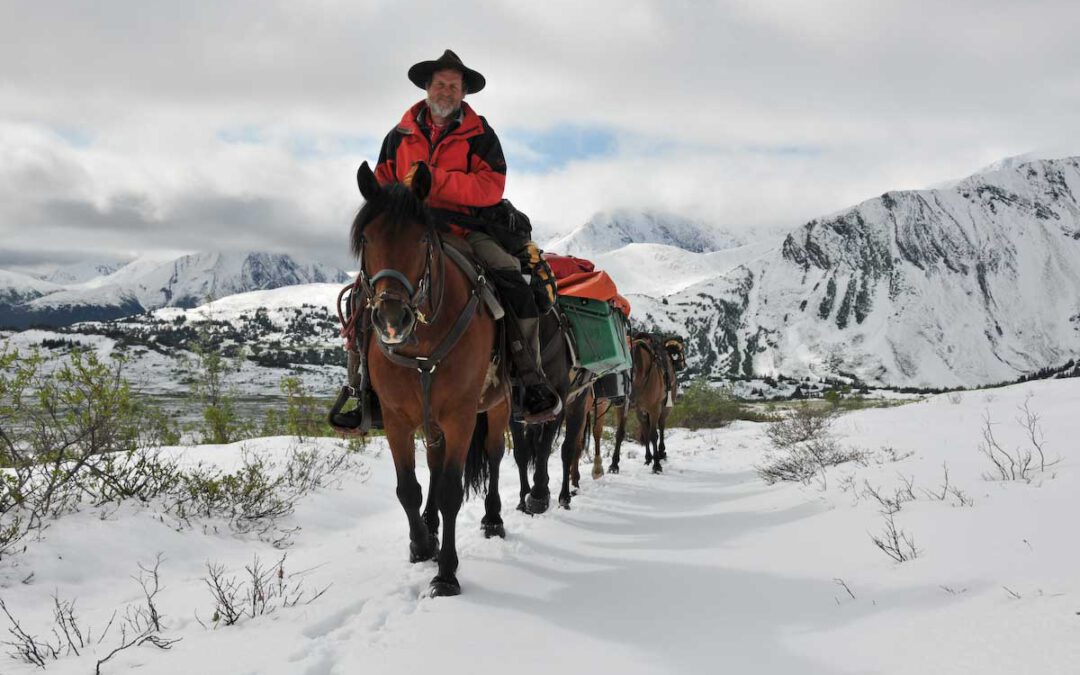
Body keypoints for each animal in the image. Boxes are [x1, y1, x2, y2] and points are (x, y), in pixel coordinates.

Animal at [349, 162, 509, 596]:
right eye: (366, 238)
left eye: (422, 238)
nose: (392, 320)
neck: (422, 344)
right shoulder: (396, 418)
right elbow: (408, 487)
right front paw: (422, 544)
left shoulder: (460, 415)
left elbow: (453, 491)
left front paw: (447, 573)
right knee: (434, 467)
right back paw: (430, 526)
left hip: (498, 406)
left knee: (494, 456)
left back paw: (493, 519)